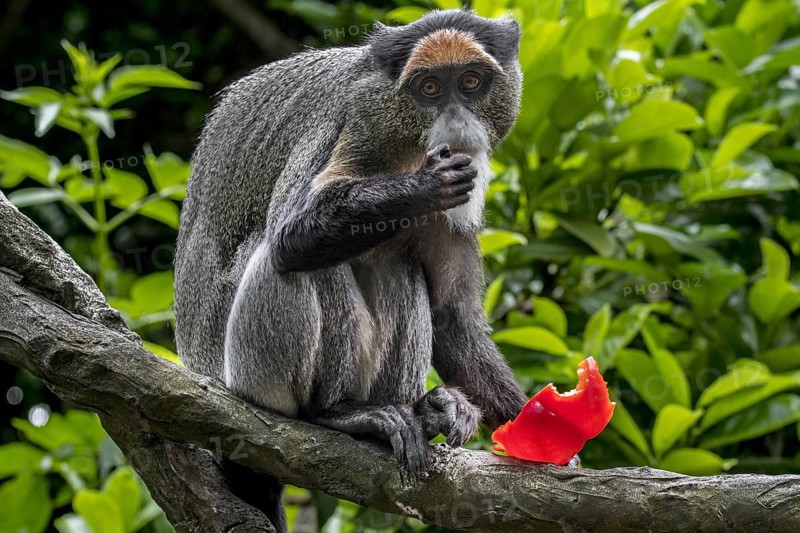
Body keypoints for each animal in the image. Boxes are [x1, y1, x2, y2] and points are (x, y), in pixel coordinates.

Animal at [174, 9, 528, 531]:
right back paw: (334, 413)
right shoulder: (342, 126)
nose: (456, 122)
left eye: (470, 82)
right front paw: (426, 184)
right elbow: (290, 237)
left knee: (400, 265)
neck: (402, 143)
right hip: (249, 375)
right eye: (428, 88)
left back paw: (422, 412)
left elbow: (451, 315)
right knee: (288, 261)